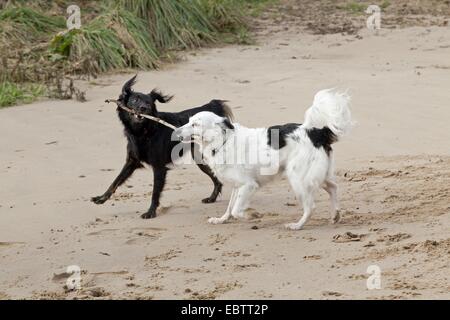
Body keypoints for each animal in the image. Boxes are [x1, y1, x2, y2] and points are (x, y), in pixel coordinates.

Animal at [90, 76, 234, 219]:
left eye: (148, 103)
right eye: (135, 100)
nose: (143, 108)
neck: (144, 131)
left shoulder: (159, 167)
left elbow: (155, 192)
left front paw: (150, 212)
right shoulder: (132, 161)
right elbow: (116, 181)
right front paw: (101, 198)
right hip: (200, 160)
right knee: (217, 179)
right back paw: (212, 198)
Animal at [174, 89, 354, 230]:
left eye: (195, 125)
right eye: (188, 122)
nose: (175, 131)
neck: (222, 140)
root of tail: (317, 132)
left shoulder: (248, 185)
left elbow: (236, 210)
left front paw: (252, 215)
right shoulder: (238, 185)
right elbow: (230, 207)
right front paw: (221, 220)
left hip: (298, 178)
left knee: (311, 206)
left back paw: (297, 225)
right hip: (314, 174)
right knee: (333, 187)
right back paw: (335, 215)